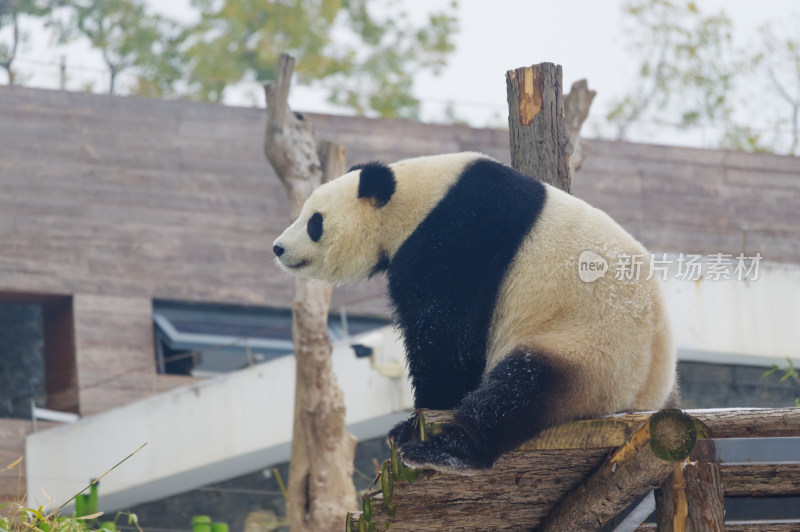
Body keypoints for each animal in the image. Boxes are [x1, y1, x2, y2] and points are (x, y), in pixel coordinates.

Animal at [272, 153, 680, 474]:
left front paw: (419, 415)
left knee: (517, 391)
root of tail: (643, 400)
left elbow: (446, 336)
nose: (278, 248)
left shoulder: (459, 237)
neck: (418, 200)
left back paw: (444, 451)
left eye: (314, 222)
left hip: (590, 349)